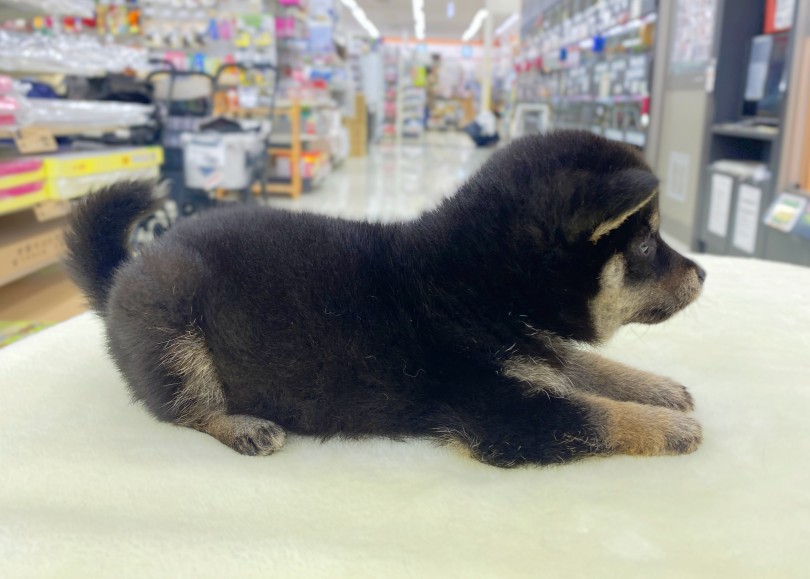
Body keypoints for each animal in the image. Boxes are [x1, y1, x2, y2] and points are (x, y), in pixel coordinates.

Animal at [66, 130, 704, 466]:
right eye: (645, 245)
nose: (702, 273)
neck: (478, 282)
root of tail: (124, 272)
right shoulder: (500, 416)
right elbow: (595, 414)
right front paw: (669, 426)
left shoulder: (538, 350)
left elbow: (588, 368)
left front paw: (655, 388)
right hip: (174, 333)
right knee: (186, 407)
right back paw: (241, 425)